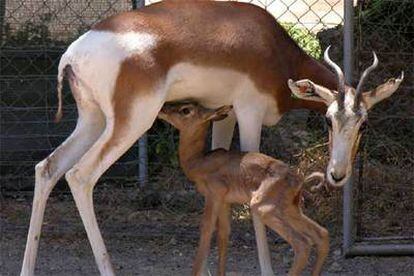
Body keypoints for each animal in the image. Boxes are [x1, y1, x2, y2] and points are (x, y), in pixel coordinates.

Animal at [158, 102, 330, 276]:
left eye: (186, 110)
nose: (163, 109)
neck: (199, 162)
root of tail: (299, 180)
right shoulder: (225, 201)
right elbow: (223, 233)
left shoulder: (213, 196)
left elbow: (206, 229)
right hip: (290, 209)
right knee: (322, 234)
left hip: (262, 208)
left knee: (303, 244)